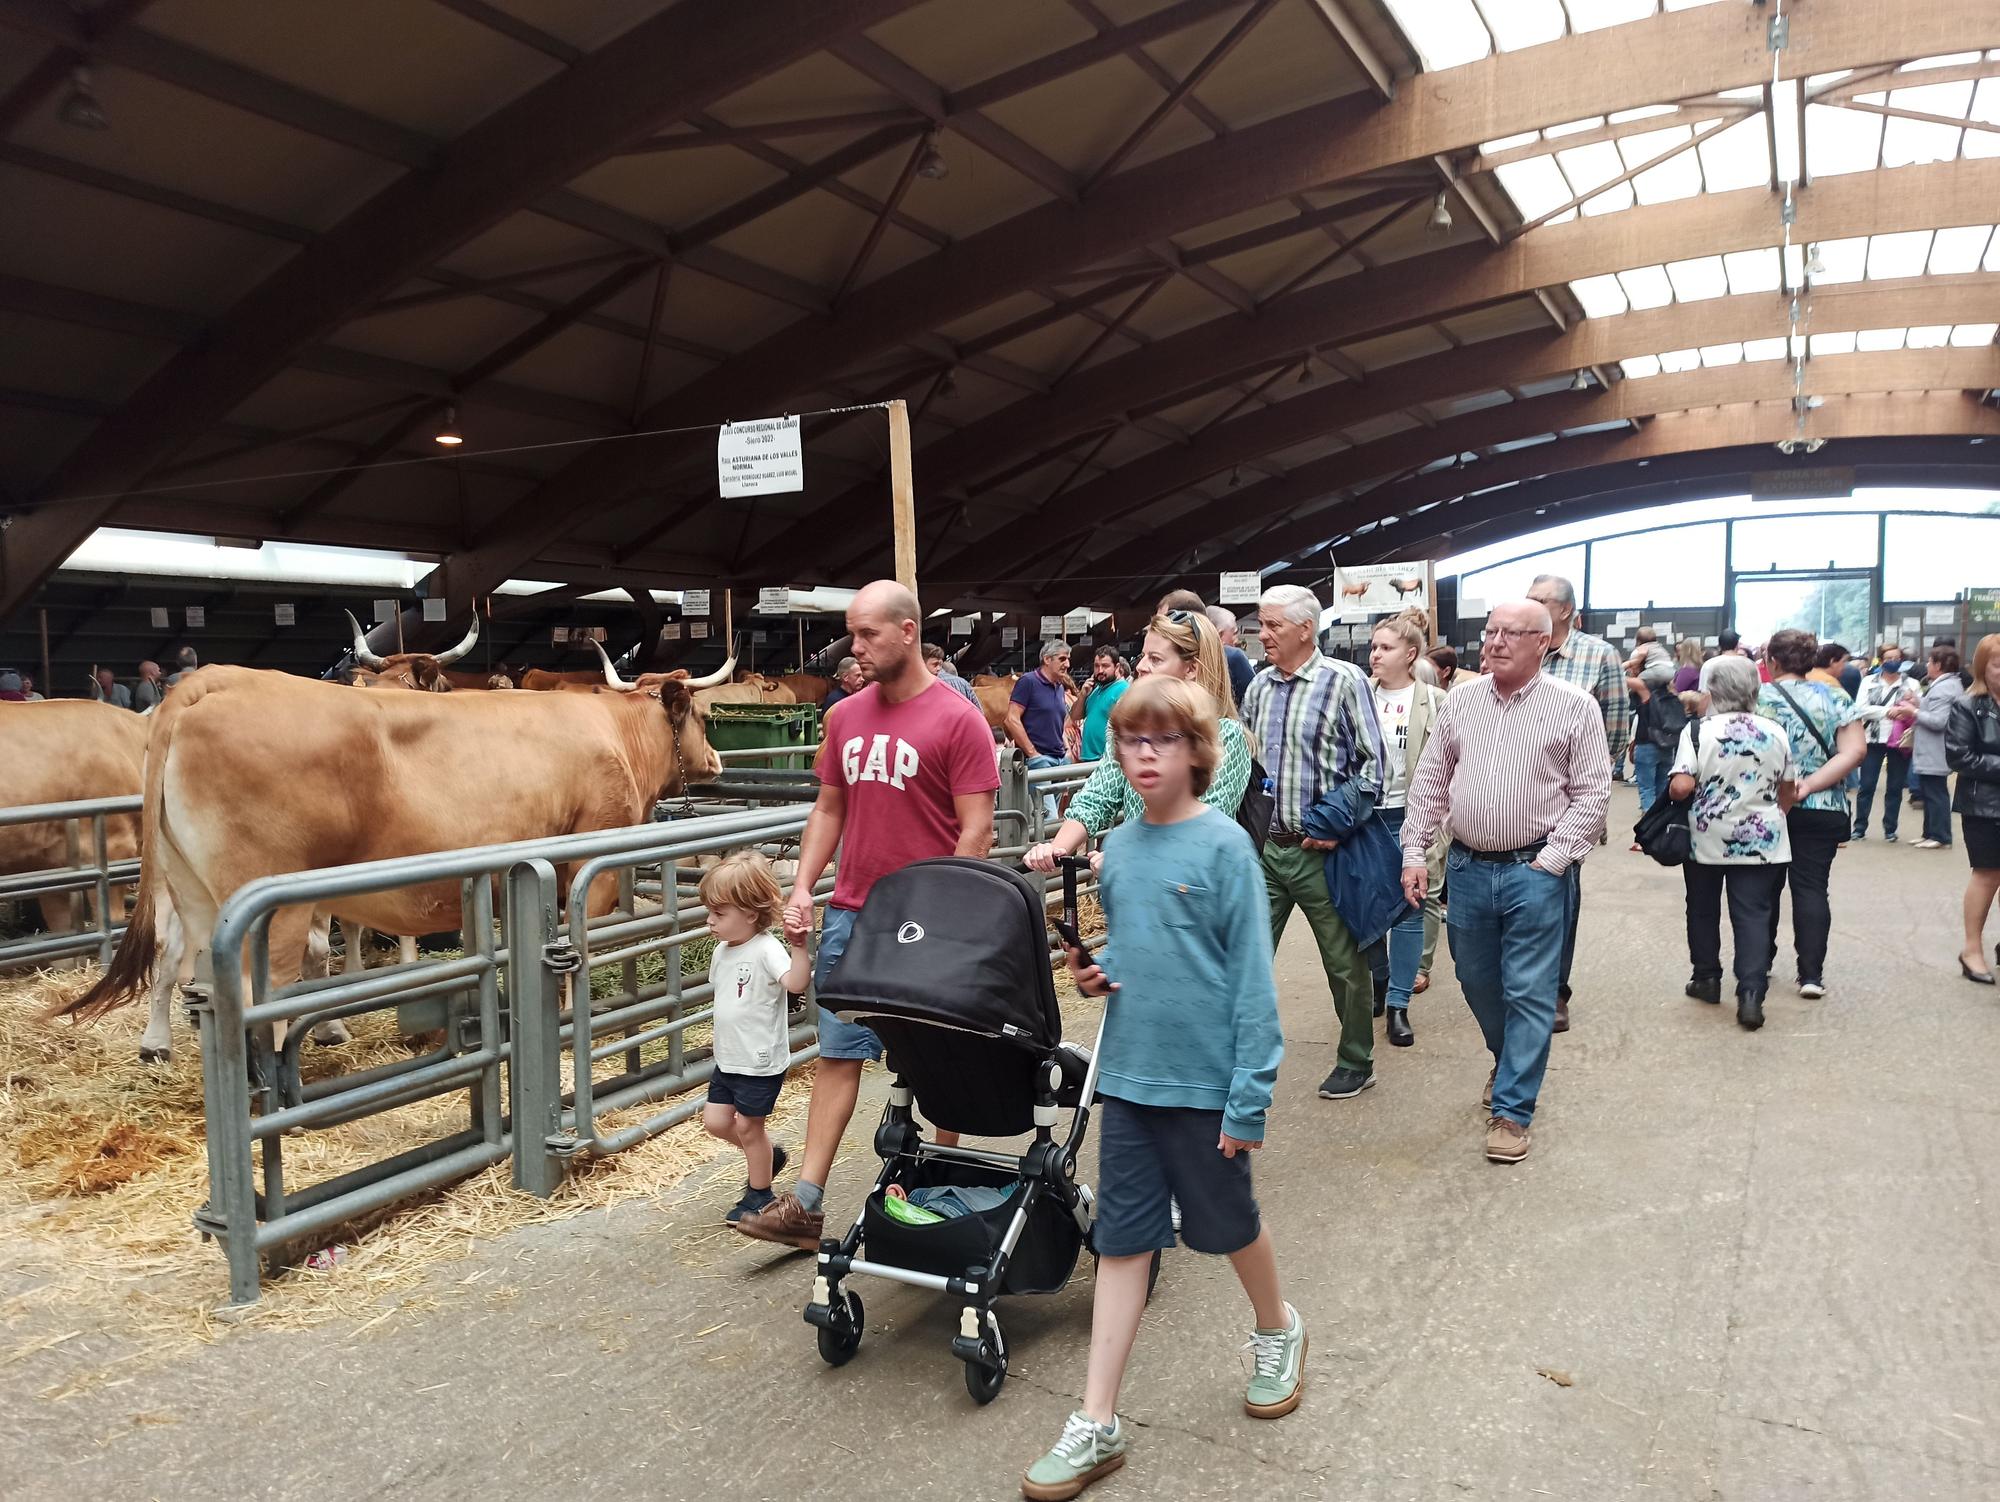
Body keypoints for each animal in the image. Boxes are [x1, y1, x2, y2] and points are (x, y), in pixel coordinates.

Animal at [72, 664, 728, 1064]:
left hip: (193, 894)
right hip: (266, 909)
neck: (615, 733)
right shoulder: (590, 860)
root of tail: (212, 682)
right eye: (704, 717)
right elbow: (575, 947)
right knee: (261, 995)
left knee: (192, 972)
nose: (719, 760)